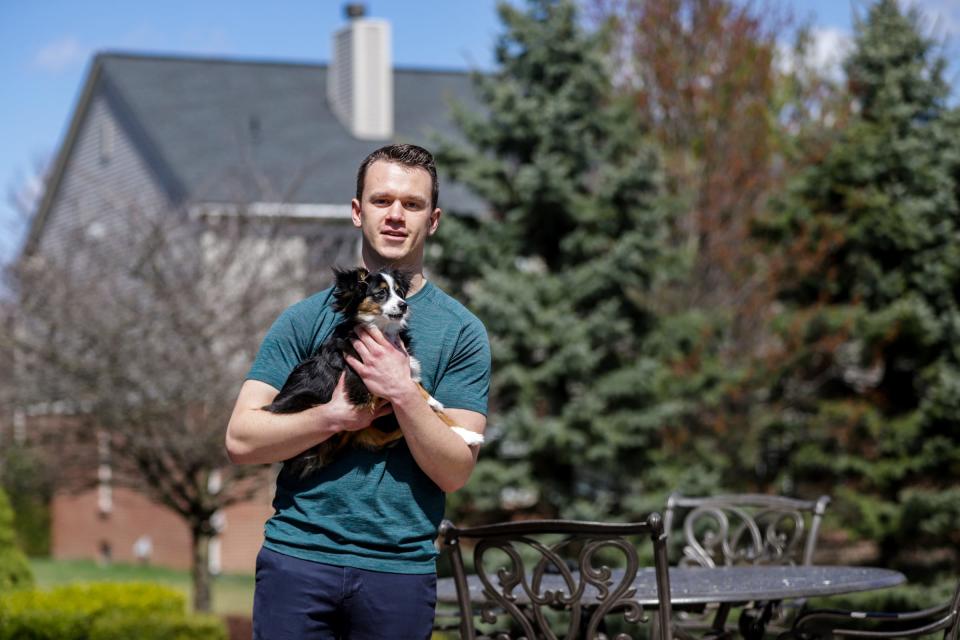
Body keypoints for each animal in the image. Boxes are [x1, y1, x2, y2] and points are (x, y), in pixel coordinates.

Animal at [262, 264, 484, 476]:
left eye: (399, 292)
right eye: (381, 293)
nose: (404, 305)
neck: (382, 331)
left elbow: (433, 408)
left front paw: (467, 434)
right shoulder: (365, 386)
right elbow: (414, 390)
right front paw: (432, 401)